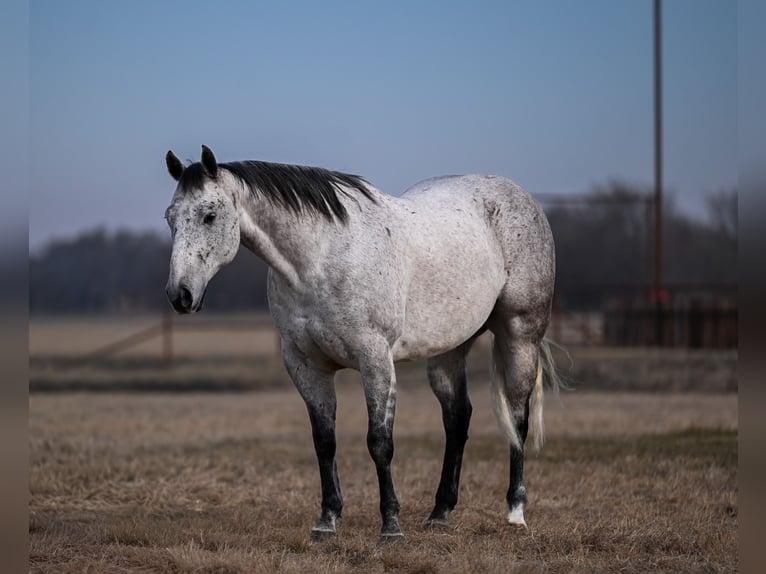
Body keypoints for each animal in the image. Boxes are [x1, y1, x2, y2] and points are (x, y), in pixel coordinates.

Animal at [163, 145, 560, 539]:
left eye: (209, 216)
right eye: (170, 218)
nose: (180, 295)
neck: (319, 260)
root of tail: (521, 198)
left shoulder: (375, 360)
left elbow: (379, 442)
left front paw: (391, 525)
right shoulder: (306, 366)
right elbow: (324, 441)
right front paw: (326, 521)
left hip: (520, 334)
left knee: (518, 417)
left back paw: (515, 512)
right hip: (448, 351)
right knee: (457, 418)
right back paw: (439, 513)